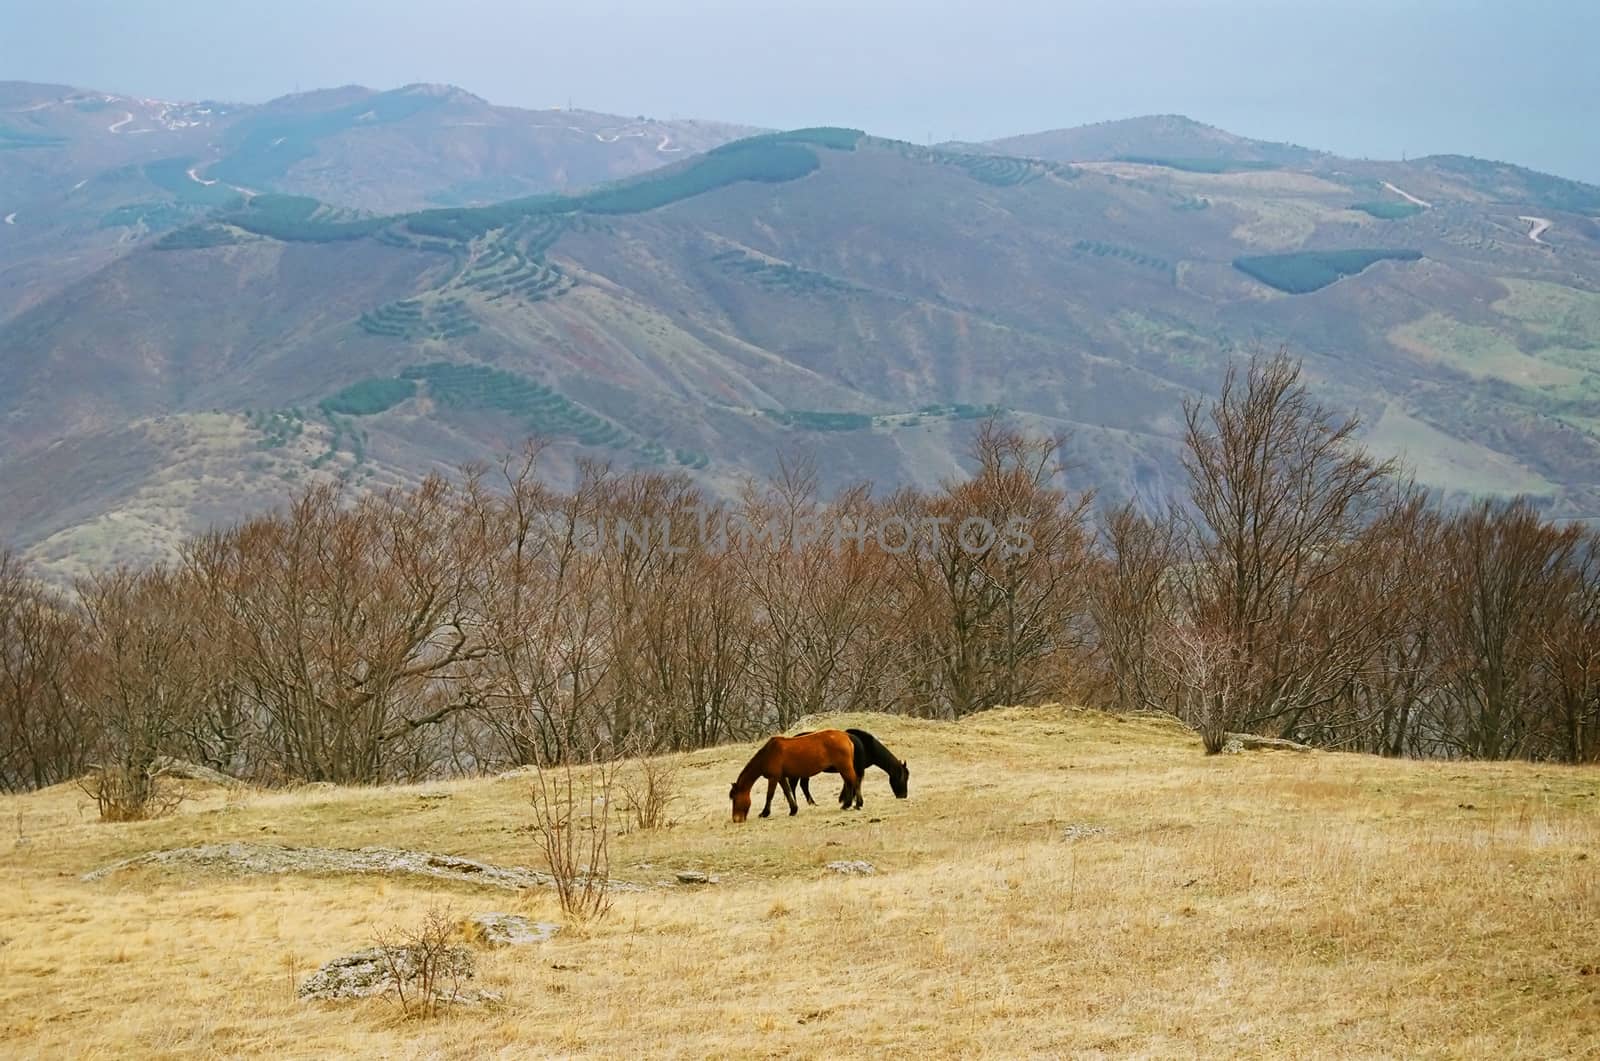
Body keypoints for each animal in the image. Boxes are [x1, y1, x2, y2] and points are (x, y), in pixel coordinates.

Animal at [732, 726, 864, 825]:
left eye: (734, 798)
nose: (736, 819)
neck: (768, 754)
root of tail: (847, 737)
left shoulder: (773, 778)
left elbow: (770, 795)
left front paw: (764, 813)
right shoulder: (781, 777)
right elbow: (787, 791)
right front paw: (793, 810)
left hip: (844, 766)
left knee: (854, 781)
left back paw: (856, 804)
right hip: (843, 768)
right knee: (850, 782)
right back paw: (848, 804)